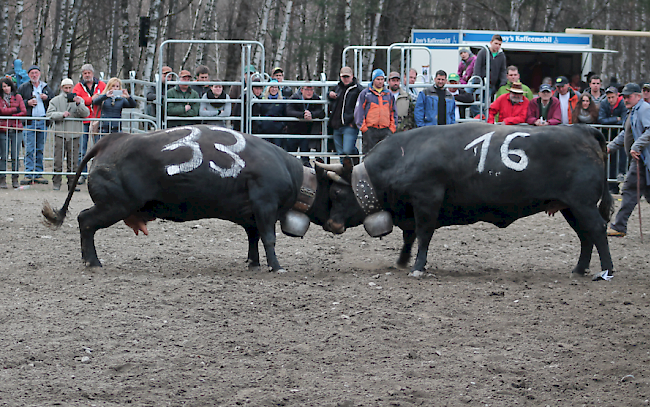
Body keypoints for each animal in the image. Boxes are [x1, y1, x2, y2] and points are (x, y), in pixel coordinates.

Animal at [41, 124, 336, 270]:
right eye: (336, 190)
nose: (339, 224)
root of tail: (112, 140)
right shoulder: (265, 207)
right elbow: (269, 238)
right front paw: (276, 266)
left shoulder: (250, 214)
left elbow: (253, 238)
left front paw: (253, 262)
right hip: (114, 205)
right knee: (85, 221)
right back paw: (92, 261)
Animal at [324, 123, 612, 280]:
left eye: (338, 194)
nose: (331, 224)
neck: (406, 155)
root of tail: (582, 129)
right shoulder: (411, 207)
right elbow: (409, 236)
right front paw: (402, 260)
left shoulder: (427, 200)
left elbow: (423, 234)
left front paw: (417, 267)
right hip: (570, 207)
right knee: (585, 236)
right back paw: (579, 269)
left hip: (583, 204)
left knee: (597, 230)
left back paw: (606, 270)